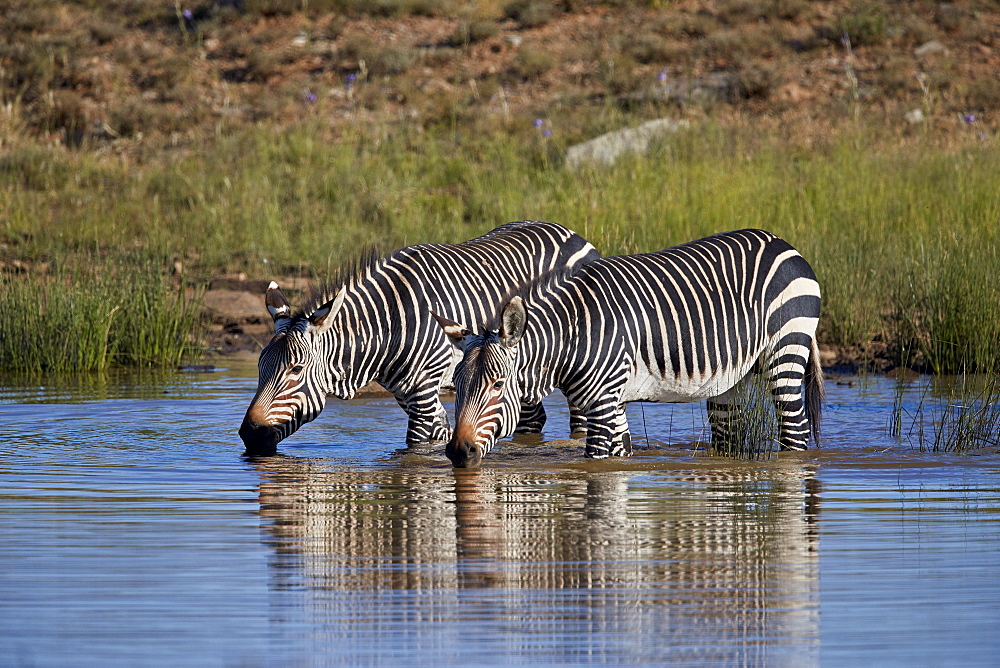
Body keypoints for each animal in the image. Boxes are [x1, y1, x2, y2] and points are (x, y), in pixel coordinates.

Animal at [237, 222, 596, 456]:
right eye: (260, 368)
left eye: (295, 370)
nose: (248, 436)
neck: (386, 327)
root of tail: (568, 231)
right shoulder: (408, 393)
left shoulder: (424, 390)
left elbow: (415, 449)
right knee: (533, 418)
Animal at [442, 230, 824, 470]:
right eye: (456, 386)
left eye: (498, 385)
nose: (459, 452)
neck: (574, 333)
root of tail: (783, 244)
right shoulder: (615, 401)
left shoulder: (600, 403)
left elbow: (595, 466)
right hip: (731, 379)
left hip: (786, 350)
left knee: (795, 432)